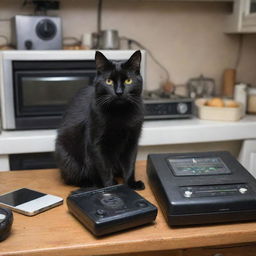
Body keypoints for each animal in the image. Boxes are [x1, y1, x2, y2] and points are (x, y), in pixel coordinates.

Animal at [55, 50, 145, 190]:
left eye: (128, 80)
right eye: (108, 81)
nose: (119, 92)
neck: (119, 113)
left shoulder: (132, 141)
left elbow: (130, 164)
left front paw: (131, 183)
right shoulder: (97, 144)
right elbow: (104, 167)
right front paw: (110, 186)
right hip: (67, 157)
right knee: (74, 177)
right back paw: (90, 183)